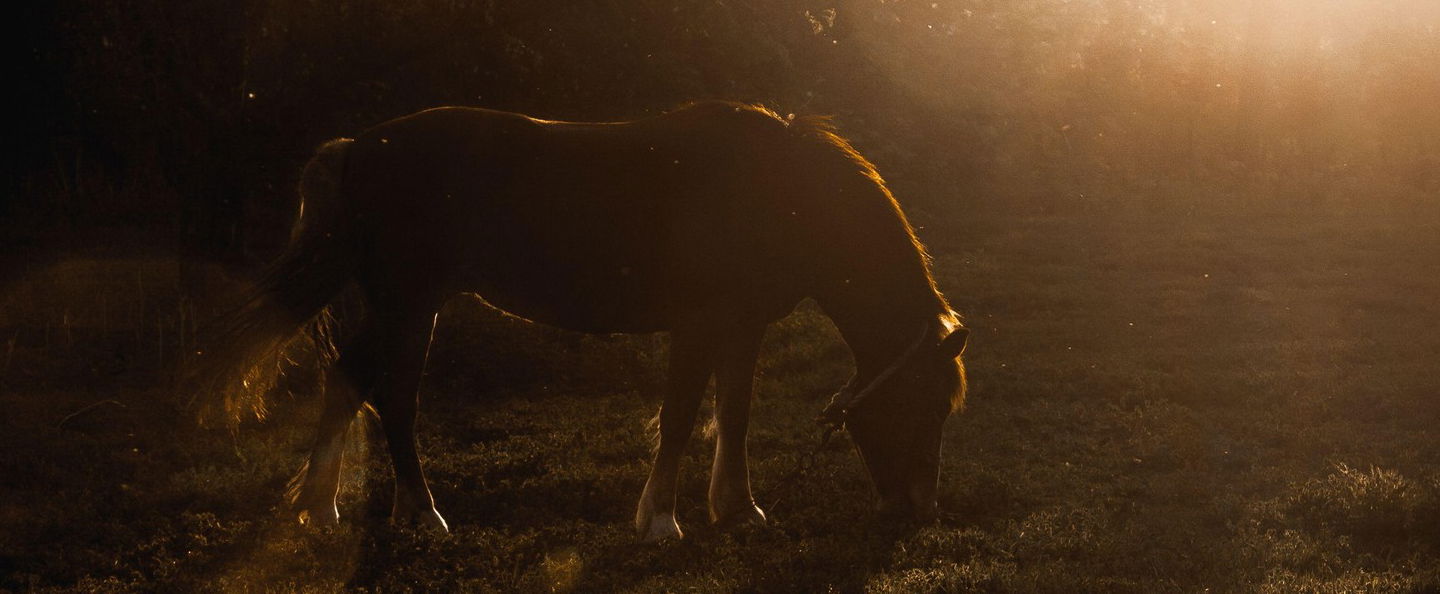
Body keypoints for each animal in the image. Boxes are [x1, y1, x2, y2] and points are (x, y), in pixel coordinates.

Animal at [194, 99, 967, 539]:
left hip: (401, 307)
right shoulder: (698, 325)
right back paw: (424, 515)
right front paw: (661, 521)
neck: (777, 192)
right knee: (395, 398)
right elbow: (681, 417)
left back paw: (322, 509)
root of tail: (358, 148)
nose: (920, 511)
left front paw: (738, 509)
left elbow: (734, 414)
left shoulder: (742, 329)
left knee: (349, 379)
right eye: (926, 403)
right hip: (411, 305)